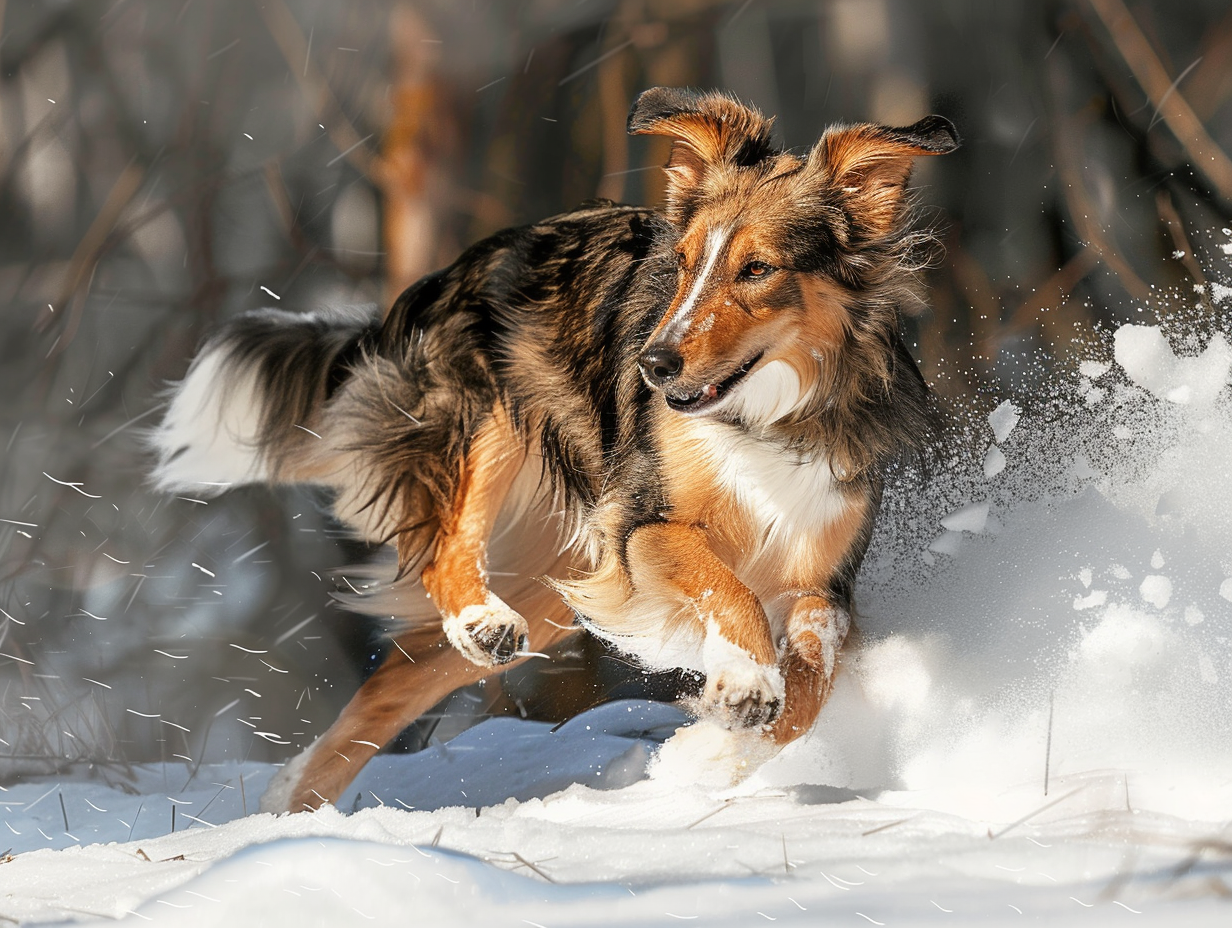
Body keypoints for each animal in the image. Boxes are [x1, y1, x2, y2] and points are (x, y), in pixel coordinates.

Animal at [146, 88, 951, 808]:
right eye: (684, 262)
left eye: (758, 268)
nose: (653, 366)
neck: (765, 419)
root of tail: (454, 268)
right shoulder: (640, 524)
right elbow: (729, 589)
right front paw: (744, 685)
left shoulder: (823, 575)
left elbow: (814, 674)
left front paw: (712, 753)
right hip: (490, 425)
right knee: (447, 550)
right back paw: (479, 619)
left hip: (555, 573)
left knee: (393, 683)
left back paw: (287, 809)